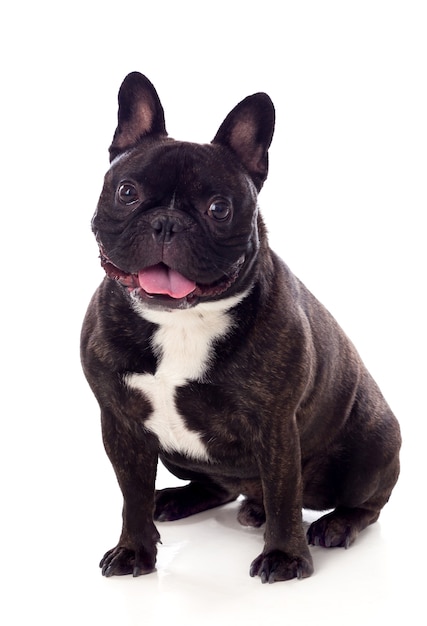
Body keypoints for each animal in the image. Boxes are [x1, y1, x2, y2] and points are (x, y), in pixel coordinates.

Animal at [80, 72, 402, 580]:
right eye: (127, 192)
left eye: (219, 208)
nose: (167, 222)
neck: (181, 320)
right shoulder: (120, 422)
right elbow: (130, 495)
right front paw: (133, 549)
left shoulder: (276, 426)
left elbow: (285, 494)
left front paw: (285, 557)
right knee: (223, 487)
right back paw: (183, 501)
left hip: (373, 445)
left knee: (364, 503)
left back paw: (333, 524)